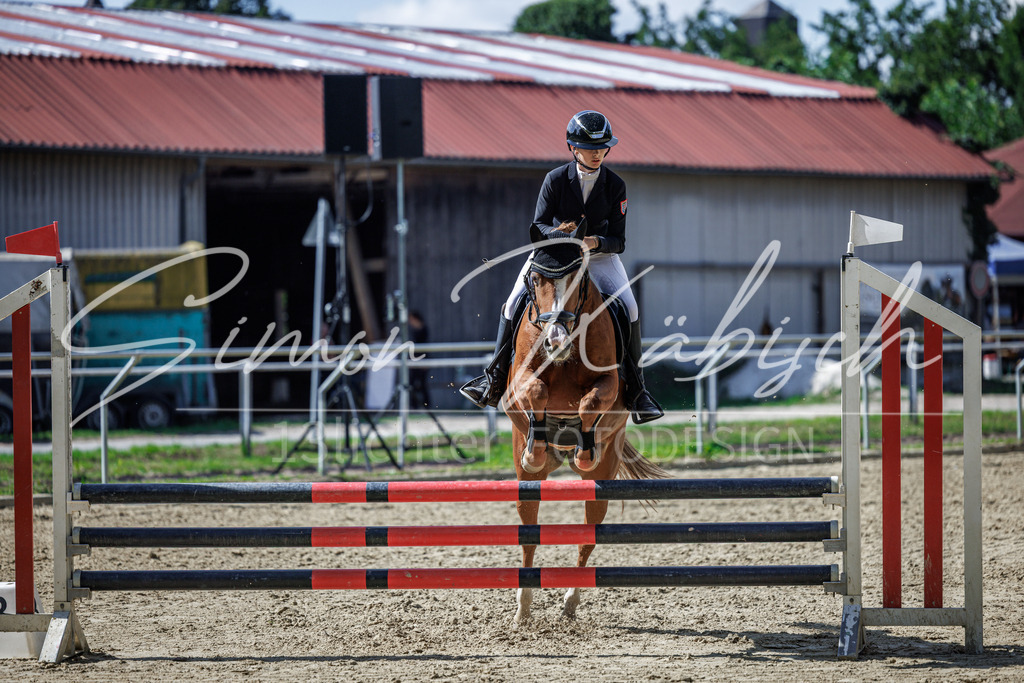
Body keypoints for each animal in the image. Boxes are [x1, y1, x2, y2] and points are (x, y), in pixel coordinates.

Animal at [501, 233, 668, 624]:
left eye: (578, 284)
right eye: (535, 280)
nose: (555, 341)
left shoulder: (610, 384)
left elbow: (590, 401)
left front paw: (584, 447)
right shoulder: (518, 383)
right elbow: (536, 390)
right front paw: (537, 444)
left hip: (601, 480)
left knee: (587, 535)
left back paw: (570, 601)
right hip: (527, 482)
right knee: (529, 532)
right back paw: (523, 607)